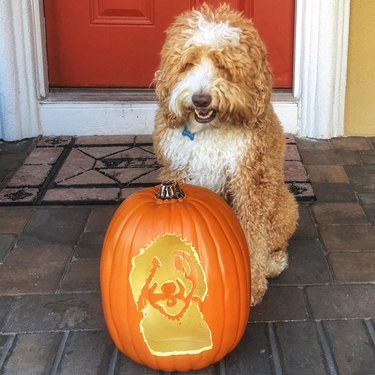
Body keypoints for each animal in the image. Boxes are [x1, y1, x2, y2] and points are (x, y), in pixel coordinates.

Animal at [153, 4, 300, 306]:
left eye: (223, 65)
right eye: (188, 63)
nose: (200, 99)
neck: (209, 129)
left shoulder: (251, 182)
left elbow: (252, 237)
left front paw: (251, 285)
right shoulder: (178, 169)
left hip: (285, 206)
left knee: (274, 243)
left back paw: (273, 264)